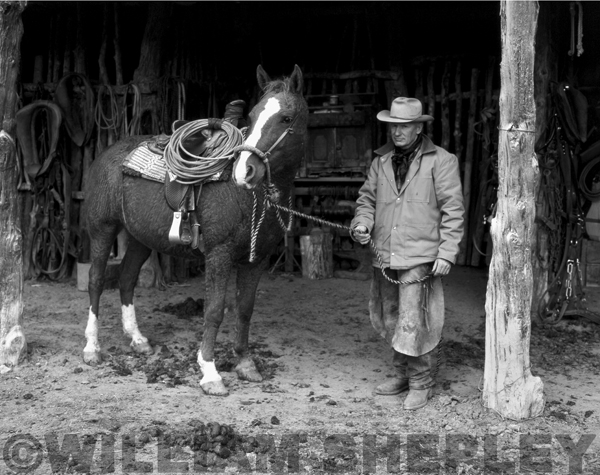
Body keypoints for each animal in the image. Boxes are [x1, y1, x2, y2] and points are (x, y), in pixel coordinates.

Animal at [82, 65, 308, 396]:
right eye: (253, 116)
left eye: (287, 118)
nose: (245, 171)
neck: (246, 195)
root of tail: (108, 153)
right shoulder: (219, 254)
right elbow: (214, 310)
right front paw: (210, 372)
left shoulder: (257, 259)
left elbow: (245, 309)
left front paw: (245, 363)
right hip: (102, 228)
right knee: (96, 281)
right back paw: (91, 348)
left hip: (139, 237)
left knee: (126, 279)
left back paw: (138, 340)